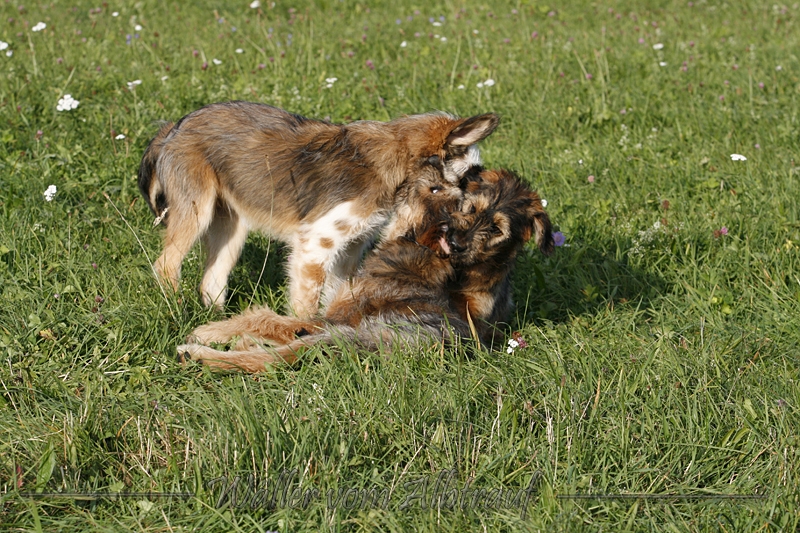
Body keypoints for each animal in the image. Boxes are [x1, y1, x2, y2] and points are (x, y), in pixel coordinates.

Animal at [138, 101, 498, 316]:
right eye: (471, 173)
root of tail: (173, 128)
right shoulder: (315, 245)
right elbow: (307, 304)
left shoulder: (350, 249)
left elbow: (337, 295)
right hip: (196, 212)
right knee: (165, 265)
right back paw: (178, 312)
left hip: (231, 229)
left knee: (211, 281)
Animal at [177, 168, 553, 372]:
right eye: (466, 208)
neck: (414, 254)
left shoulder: (333, 317)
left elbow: (265, 317)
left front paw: (211, 330)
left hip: (345, 334)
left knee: (270, 358)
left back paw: (200, 355)